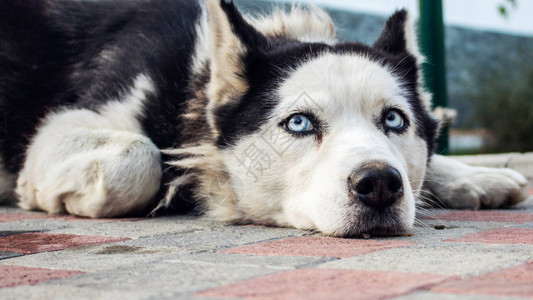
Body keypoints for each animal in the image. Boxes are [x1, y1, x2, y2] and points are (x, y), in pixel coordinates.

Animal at [0, 0, 524, 237]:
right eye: (299, 124)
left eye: (395, 121)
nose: (379, 183)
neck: (193, 81)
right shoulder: (67, 126)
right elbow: (138, 158)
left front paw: (473, 176)